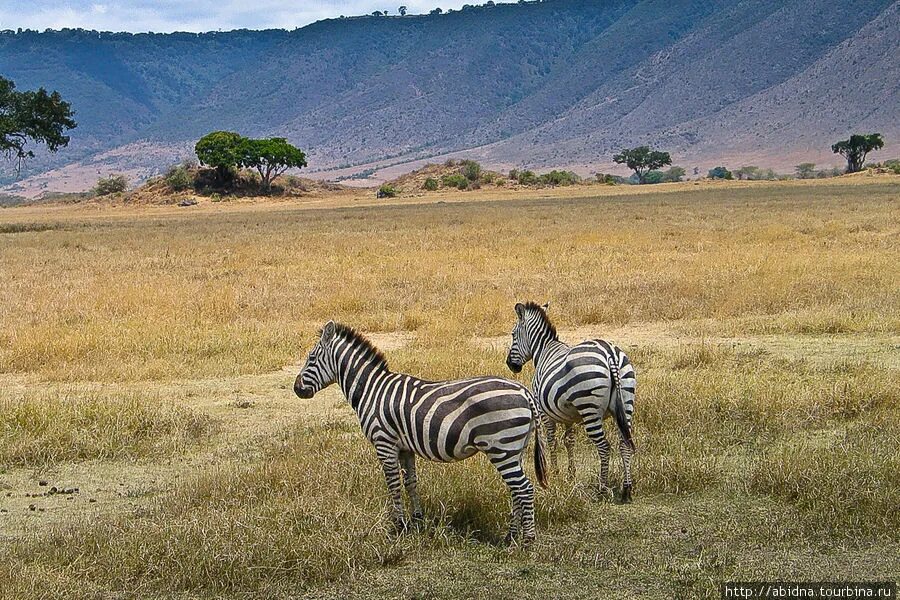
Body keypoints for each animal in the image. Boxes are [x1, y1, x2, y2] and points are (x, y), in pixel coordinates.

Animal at [296, 324, 548, 544]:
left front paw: (398, 526)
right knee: (516, 490)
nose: (296, 389)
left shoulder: (384, 442)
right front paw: (416, 520)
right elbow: (410, 482)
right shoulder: (405, 447)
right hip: (514, 448)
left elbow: (393, 484)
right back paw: (511, 536)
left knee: (524, 489)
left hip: (501, 447)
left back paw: (528, 540)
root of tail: (524, 392)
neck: (372, 390)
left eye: (311, 359)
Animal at [502, 300, 636, 502]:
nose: (510, 365)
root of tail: (610, 354)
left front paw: (555, 473)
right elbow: (569, 441)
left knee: (604, 447)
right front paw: (571, 475)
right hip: (626, 401)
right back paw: (626, 489)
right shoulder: (568, 415)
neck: (544, 349)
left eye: (512, 335)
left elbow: (552, 441)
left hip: (589, 408)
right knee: (624, 444)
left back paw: (602, 488)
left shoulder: (544, 412)